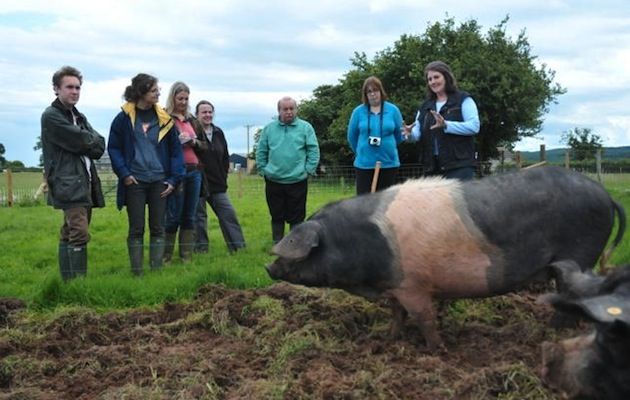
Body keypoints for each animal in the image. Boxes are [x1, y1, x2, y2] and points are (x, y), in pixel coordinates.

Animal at [266, 167, 628, 352]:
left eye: (301, 249)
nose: (268, 267)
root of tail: (604, 194)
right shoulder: (395, 285)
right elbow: (396, 314)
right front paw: (386, 339)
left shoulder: (414, 285)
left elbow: (424, 318)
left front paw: (435, 351)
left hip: (580, 252)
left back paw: (549, 336)